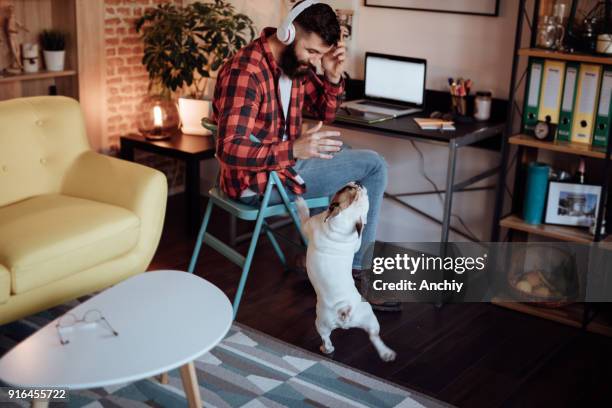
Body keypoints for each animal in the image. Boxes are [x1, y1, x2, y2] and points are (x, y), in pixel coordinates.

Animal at [296, 183, 396, 362]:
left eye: (346, 188)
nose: (358, 182)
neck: (345, 218)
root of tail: (344, 310)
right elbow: (358, 238)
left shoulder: (308, 225)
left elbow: (304, 216)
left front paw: (301, 203)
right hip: (367, 316)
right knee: (374, 336)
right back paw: (386, 353)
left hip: (321, 322)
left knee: (326, 339)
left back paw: (326, 349)